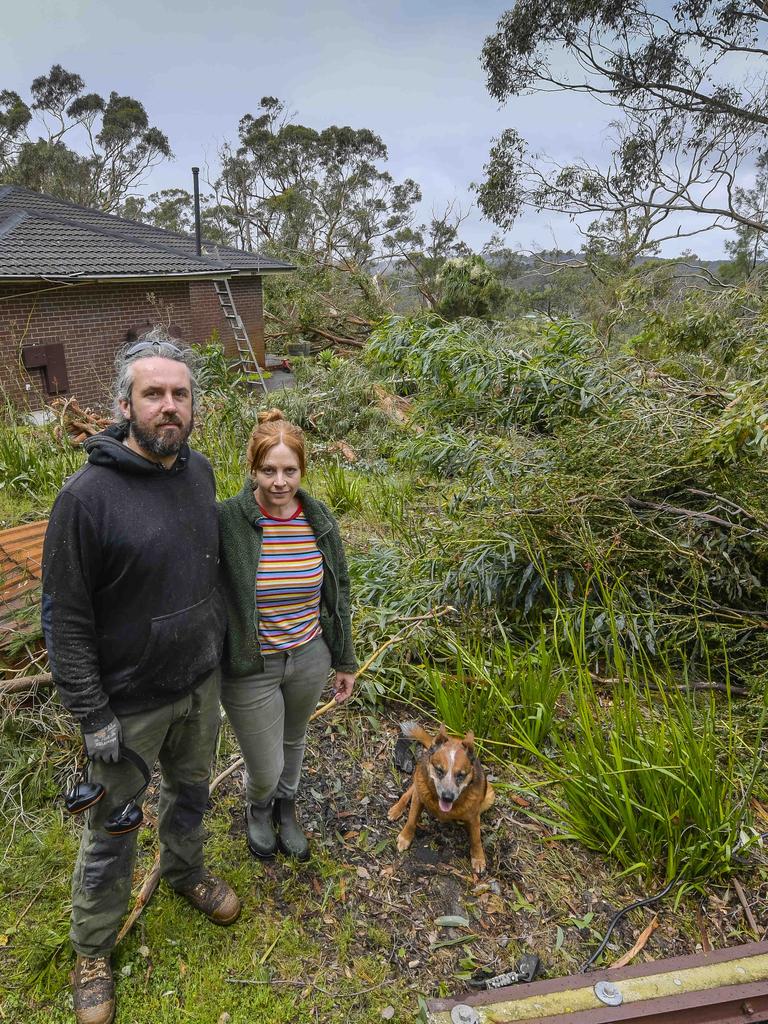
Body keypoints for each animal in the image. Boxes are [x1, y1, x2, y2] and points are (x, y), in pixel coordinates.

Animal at [387, 720, 495, 872]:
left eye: (461, 775)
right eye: (439, 770)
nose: (447, 797)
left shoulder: (474, 816)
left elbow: (476, 838)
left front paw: (478, 857)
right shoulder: (419, 798)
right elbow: (411, 819)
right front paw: (405, 837)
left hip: (490, 796)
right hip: (418, 781)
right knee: (410, 790)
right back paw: (397, 809)